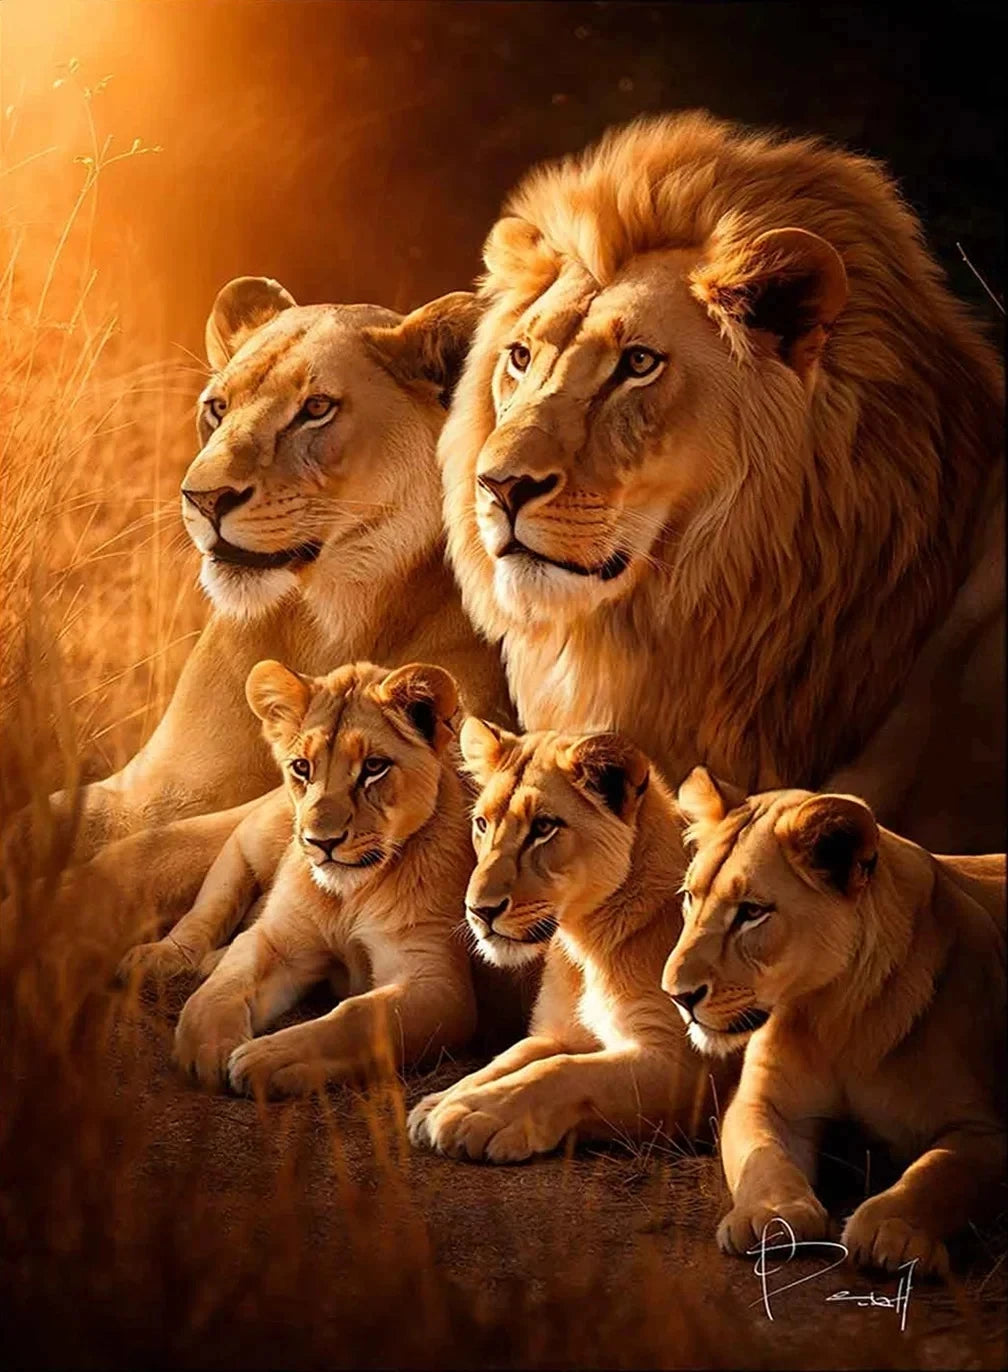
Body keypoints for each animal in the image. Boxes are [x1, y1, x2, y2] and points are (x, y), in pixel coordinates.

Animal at [23, 277, 511, 926]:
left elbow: (154, 850)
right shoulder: (165, 782)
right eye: (217, 408)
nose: (203, 497)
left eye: (316, 409)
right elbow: (58, 817)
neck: (326, 619)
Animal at [171, 658, 477, 1095]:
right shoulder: (278, 940)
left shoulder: (436, 979)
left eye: (374, 768)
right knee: (206, 911)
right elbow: (225, 984)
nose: (322, 841)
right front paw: (206, 1045)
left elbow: (358, 1016)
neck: (348, 896)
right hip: (248, 842)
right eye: (302, 767)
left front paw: (269, 1058)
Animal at [408, 721, 735, 1163]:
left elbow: (562, 1072)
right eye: (482, 824)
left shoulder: (690, 1067)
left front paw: (473, 1113)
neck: (585, 943)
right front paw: (439, 1101)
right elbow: (511, 1058)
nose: (478, 910)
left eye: (544, 827)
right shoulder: (559, 1032)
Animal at [661, 766, 1006, 1276]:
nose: (678, 996)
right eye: (690, 898)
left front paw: (892, 1229)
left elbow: (939, 1171)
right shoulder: (763, 1102)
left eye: (752, 912)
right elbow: (764, 1158)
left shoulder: (985, 1129)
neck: (833, 1014)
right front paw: (770, 1215)